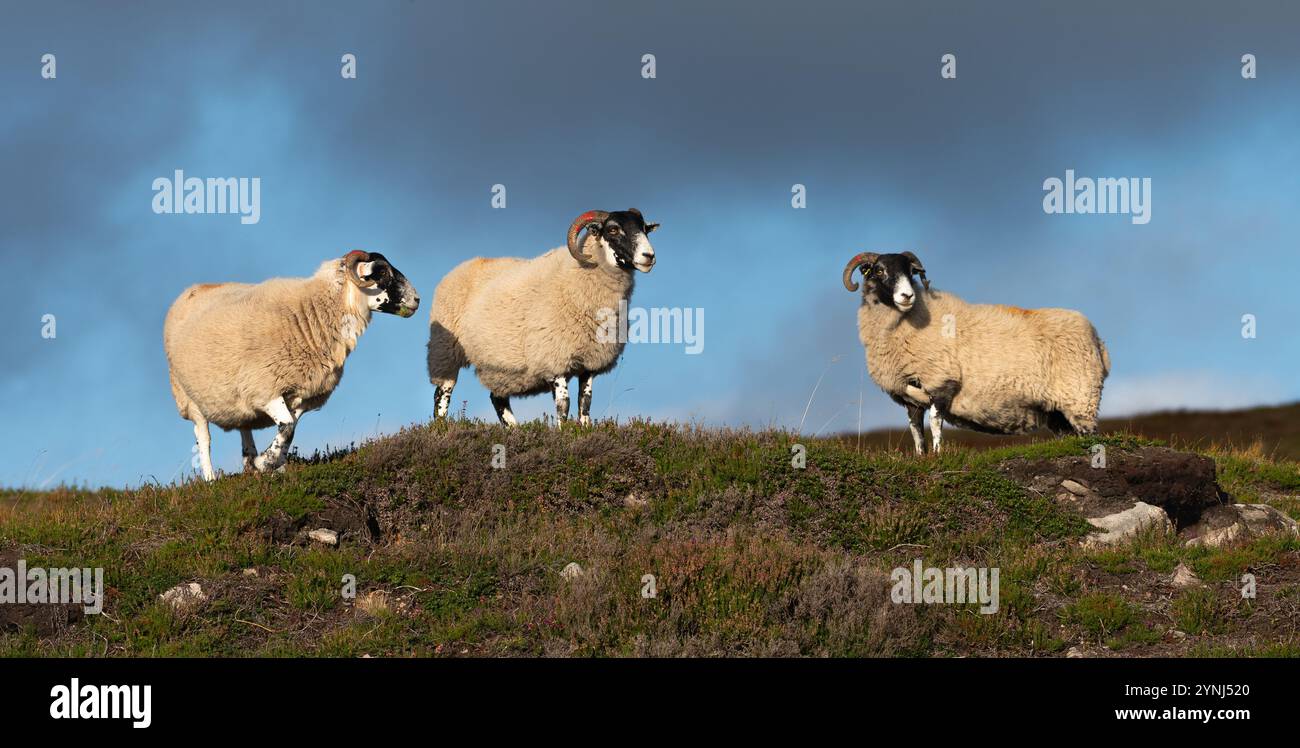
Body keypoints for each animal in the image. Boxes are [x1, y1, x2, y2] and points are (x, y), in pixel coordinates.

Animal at [161, 248, 416, 483]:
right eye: (382, 272)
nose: (417, 300)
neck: (311, 315)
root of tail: (191, 290)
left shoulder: (302, 396)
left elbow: (290, 429)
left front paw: (274, 464)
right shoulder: (266, 389)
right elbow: (287, 427)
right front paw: (265, 463)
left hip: (240, 398)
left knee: (245, 427)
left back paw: (249, 463)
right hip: (190, 399)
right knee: (204, 439)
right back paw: (212, 479)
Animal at [428, 208, 660, 426]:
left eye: (644, 229)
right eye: (613, 229)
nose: (649, 256)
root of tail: (461, 267)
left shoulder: (589, 362)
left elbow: (585, 402)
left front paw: (584, 430)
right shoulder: (554, 358)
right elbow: (563, 404)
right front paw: (564, 432)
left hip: (501, 370)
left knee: (497, 398)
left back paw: (514, 430)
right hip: (445, 352)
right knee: (442, 396)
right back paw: (441, 428)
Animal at [842, 249, 1107, 457]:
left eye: (910, 272)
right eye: (879, 271)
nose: (907, 296)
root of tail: (1097, 340)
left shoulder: (941, 380)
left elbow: (935, 423)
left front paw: (937, 455)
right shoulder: (909, 395)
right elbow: (916, 429)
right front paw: (921, 457)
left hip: (1081, 397)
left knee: (1090, 434)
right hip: (1057, 412)